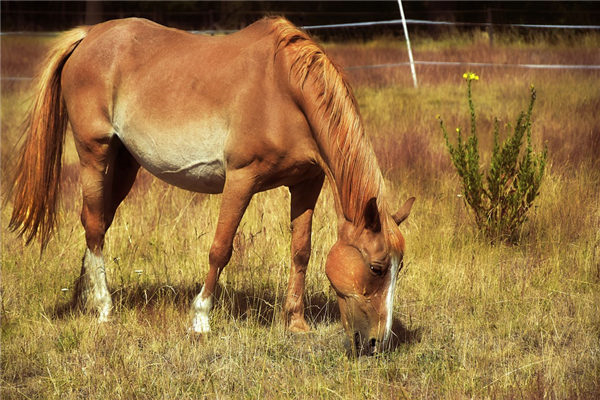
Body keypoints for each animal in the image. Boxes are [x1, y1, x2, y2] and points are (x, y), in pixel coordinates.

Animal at [9, 15, 414, 354]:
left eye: (399, 267)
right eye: (377, 268)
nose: (378, 343)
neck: (284, 91)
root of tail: (90, 34)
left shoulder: (306, 183)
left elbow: (301, 251)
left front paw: (296, 323)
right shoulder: (241, 178)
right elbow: (221, 249)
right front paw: (201, 318)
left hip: (123, 163)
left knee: (97, 221)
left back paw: (85, 298)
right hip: (95, 154)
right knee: (94, 224)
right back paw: (105, 308)